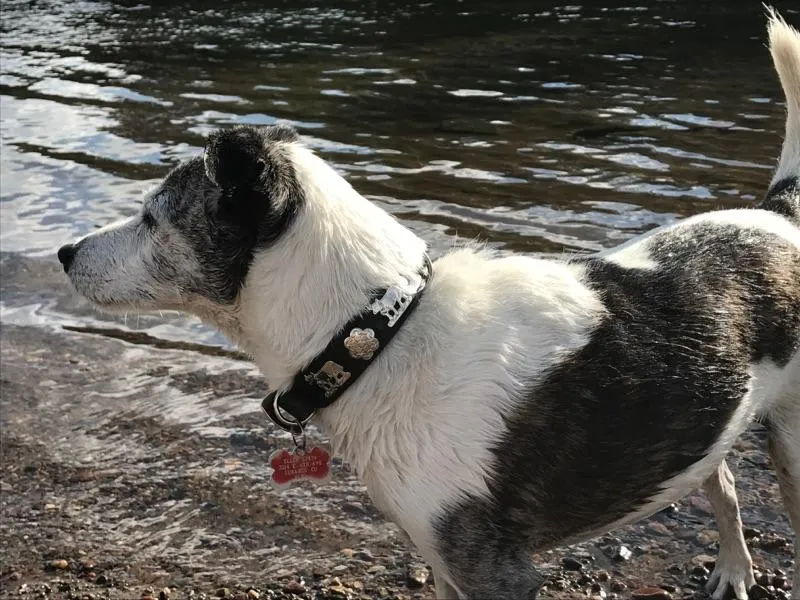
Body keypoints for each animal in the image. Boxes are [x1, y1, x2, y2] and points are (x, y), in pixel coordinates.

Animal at [57, 10, 800, 600]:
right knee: (723, 483)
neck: (374, 333)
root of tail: (779, 213)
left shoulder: (494, 571)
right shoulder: (441, 558)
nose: (63, 252)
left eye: (152, 219)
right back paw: (735, 570)